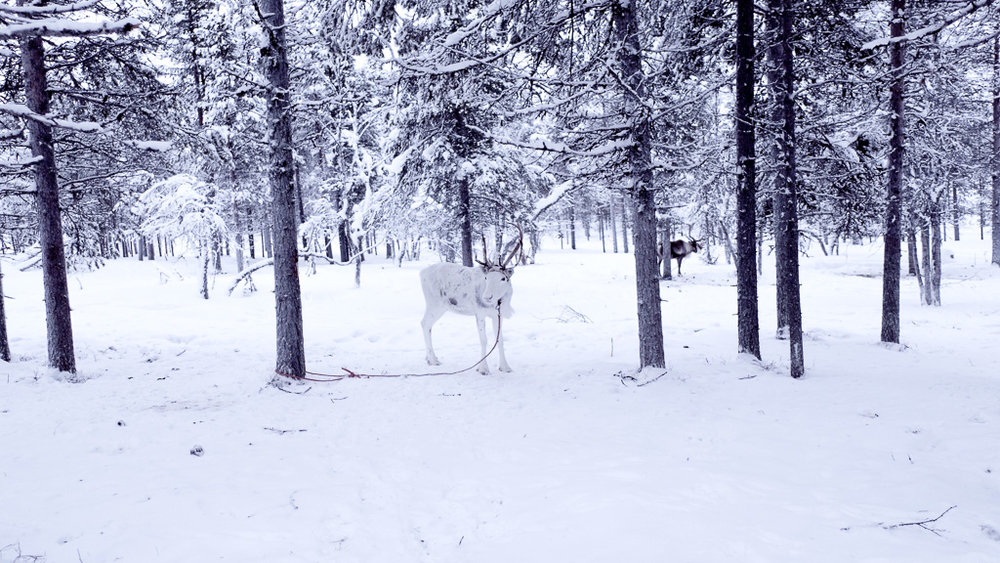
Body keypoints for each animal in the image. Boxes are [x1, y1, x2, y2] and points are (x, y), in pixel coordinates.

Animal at [419, 229, 523, 374]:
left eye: (503, 278)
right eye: (486, 277)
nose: (487, 297)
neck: (498, 302)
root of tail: (421, 272)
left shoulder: (498, 315)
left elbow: (500, 340)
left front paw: (505, 367)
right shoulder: (480, 313)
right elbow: (483, 340)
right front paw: (483, 368)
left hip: (440, 307)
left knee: (427, 325)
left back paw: (429, 358)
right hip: (434, 304)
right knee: (424, 323)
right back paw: (433, 360)